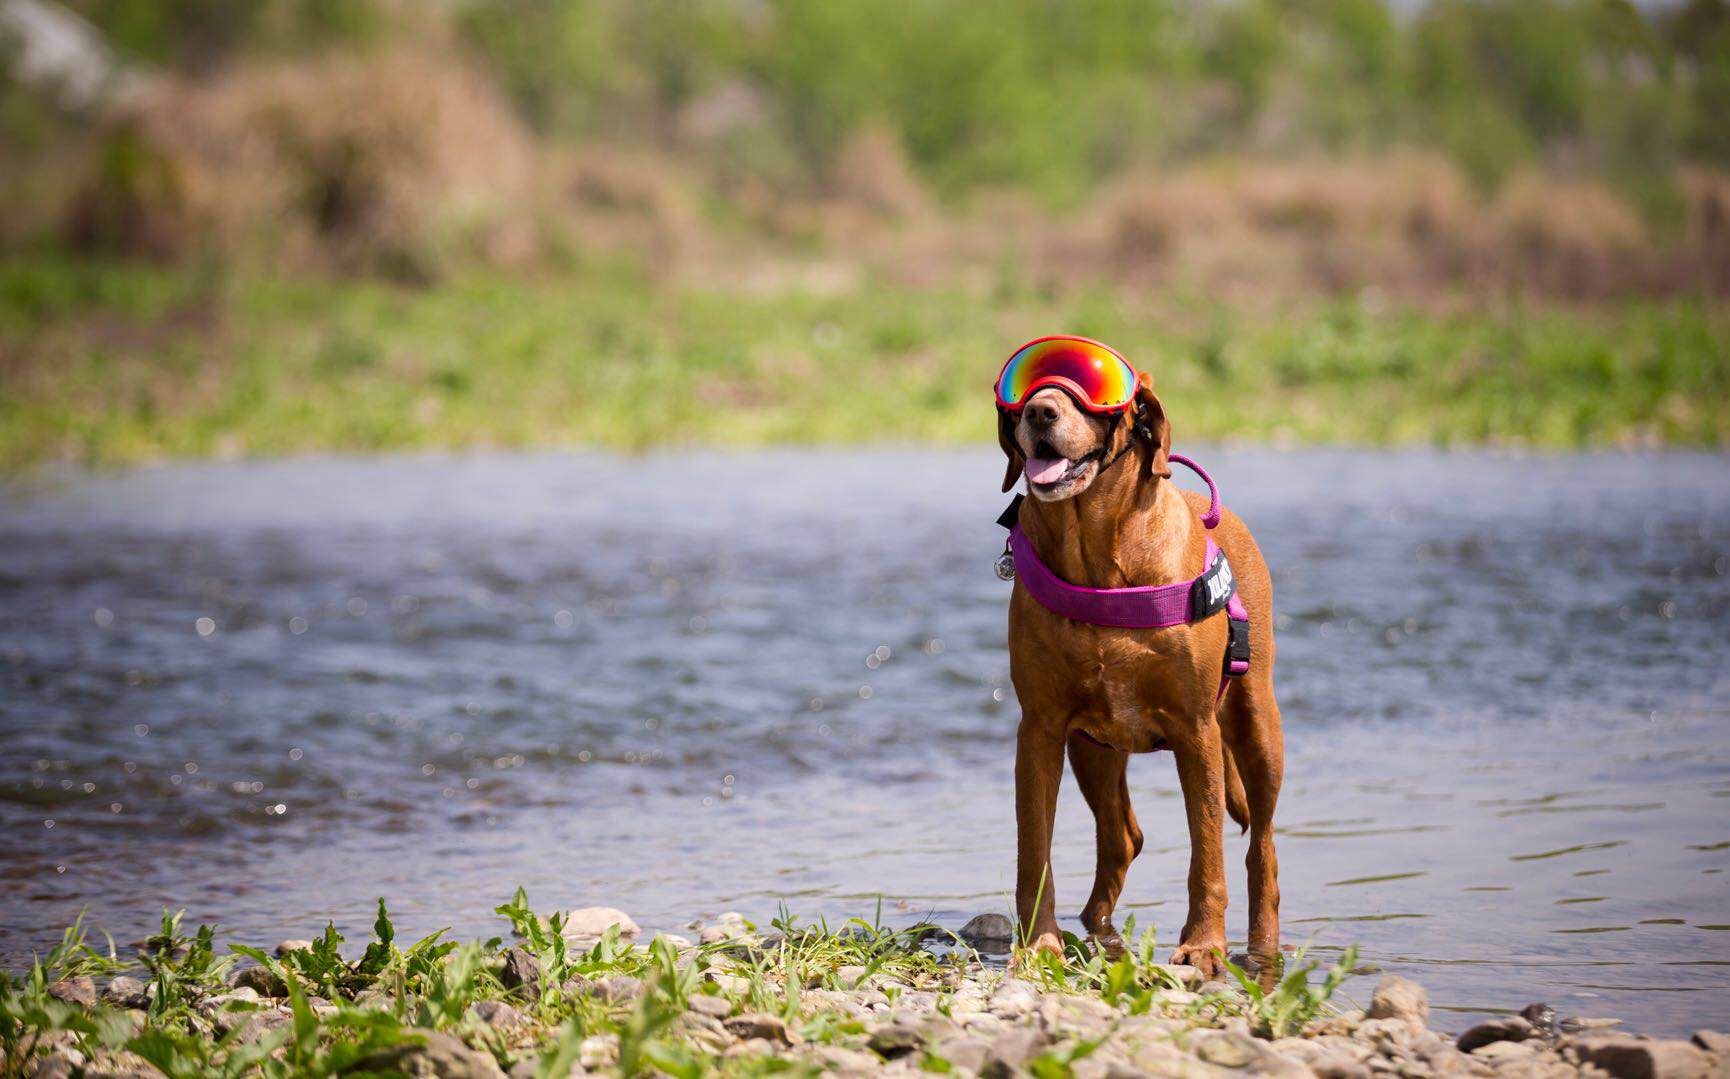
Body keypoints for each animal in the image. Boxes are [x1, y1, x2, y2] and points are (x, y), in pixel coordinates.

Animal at [1003, 370, 1287, 975]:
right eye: (1028, 386)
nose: (1039, 412)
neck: (1096, 556)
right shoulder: (1039, 729)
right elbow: (1034, 848)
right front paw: (1040, 943)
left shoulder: (1196, 731)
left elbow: (1207, 853)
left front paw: (1204, 946)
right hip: (1091, 747)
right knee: (1121, 837)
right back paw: (1095, 925)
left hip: (1258, 728)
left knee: (1262, 849)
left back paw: (1261, 948)